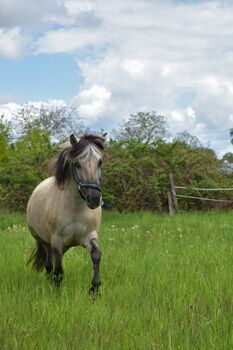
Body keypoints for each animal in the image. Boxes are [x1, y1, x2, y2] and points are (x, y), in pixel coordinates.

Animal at [26, 132, 106, 292]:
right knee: (49, 264)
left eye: (99, 162)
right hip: (43, 240)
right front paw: (56, 292)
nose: (94, 199)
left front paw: (94, 288)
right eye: (77, 164)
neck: (76, 208)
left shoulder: (89, 236)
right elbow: (58, 271)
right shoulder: (57, 241)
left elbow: (96, 255)